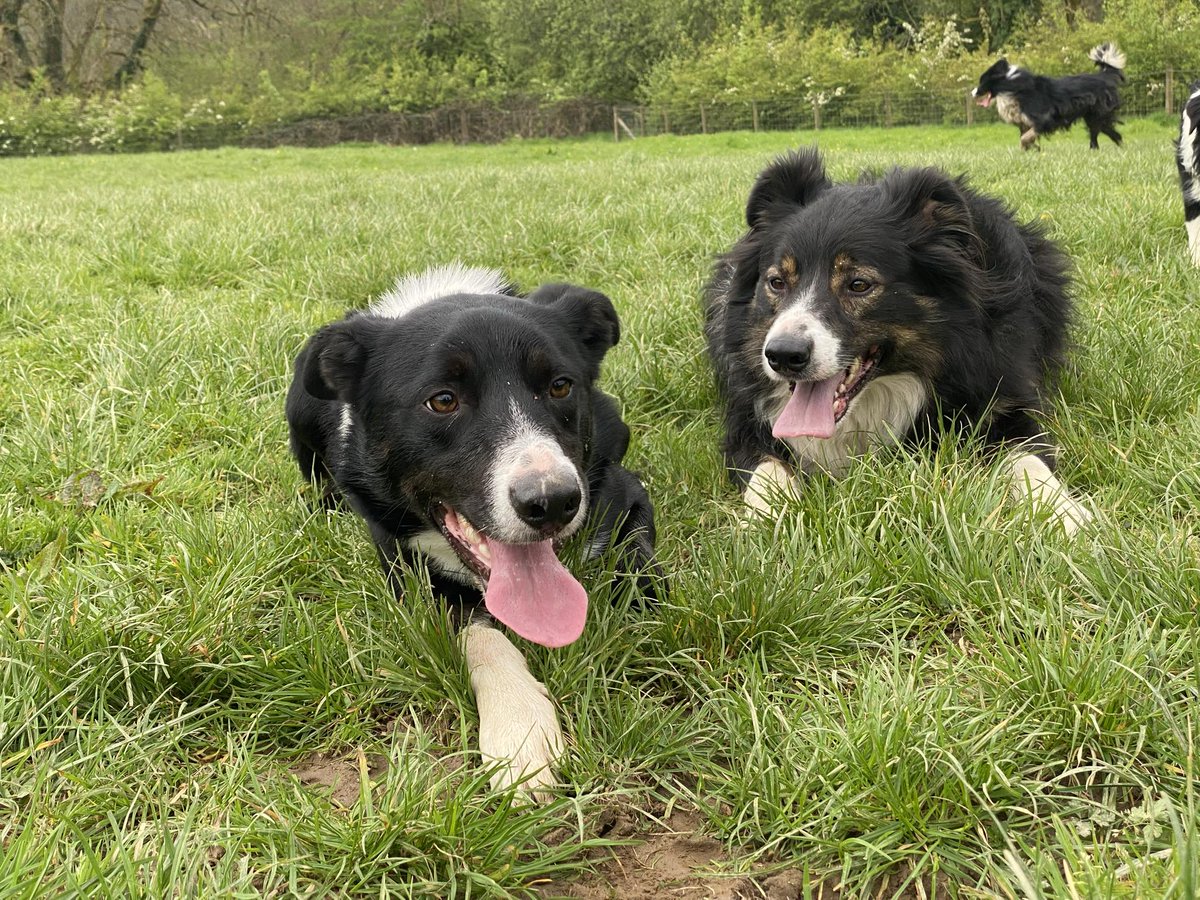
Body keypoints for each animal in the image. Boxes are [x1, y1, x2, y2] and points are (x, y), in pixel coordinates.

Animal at [285, 264, 662, 801]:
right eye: (443, 400)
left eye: (560, 387)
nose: (552, 502)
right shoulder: (410, 573)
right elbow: (483, 637)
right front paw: (519, 727)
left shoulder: (621, 490)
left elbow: (636, 561)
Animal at [705, 148, 1094, 535]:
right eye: (777, 282)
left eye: (859, 284)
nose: (783, 356)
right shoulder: (747, 420)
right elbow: (765, 469)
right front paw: (766, 521)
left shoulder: (1000, 394)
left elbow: (1026, 456)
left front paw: (1066, 516)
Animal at [969, 42, 1128, 150]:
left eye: (982, 81)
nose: (972, 93)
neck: (1012, 87)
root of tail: (1103, 76)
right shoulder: (1025, 122)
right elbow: (1025, 137)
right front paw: (1031, 150)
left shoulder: (1044, 119)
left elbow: (1025, 138)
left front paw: (1028, 148)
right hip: (1094, 117)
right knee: (1111, 134)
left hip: (1098, 115)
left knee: (1103, 133)